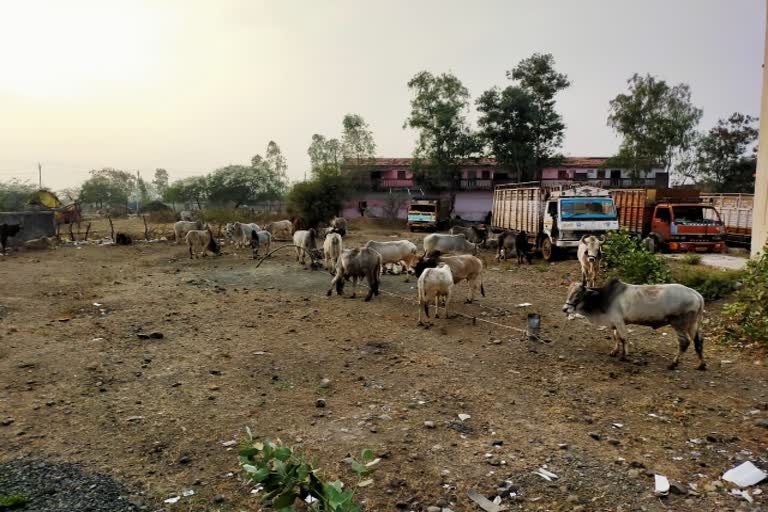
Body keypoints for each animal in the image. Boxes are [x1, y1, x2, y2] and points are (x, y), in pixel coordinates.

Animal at [560, 278, 704, 370]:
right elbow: (616, 337)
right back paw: (701, 365)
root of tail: (697, 295)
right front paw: (614, 351)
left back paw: (673, 364)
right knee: (698, 341)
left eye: (578, 294)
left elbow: (623, 338)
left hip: (679, 324)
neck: (604, 297)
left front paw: (624, 356)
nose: (565, 309)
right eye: (568, 292)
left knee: (684, 342)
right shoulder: (615, 322)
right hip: (693, 324)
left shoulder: (619, 321)